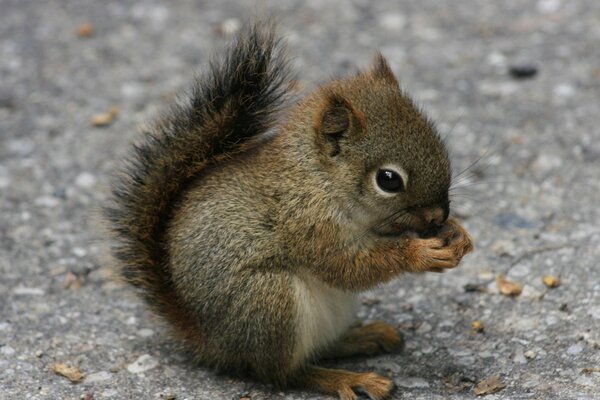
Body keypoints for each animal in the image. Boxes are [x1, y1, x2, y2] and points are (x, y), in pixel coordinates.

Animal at [106, 21, 474, 400]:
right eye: (388, 180)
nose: (438, 216)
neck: (318, 178)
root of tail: (213, 343)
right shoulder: (306, 222)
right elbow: (347, 266)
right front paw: (421, 253)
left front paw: (457, 235)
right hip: (269, 301)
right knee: (284, 373)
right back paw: (346, 378)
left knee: (319, 349)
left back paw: (364, 337)